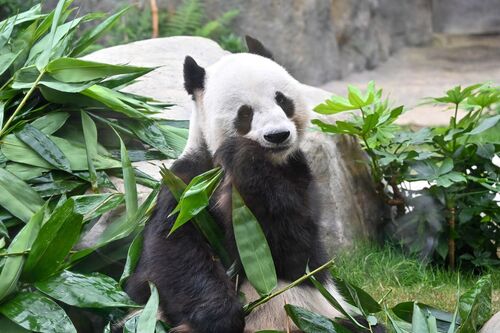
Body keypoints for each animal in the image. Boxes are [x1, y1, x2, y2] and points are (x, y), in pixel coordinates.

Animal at [126, 36, 382, 332]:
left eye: (282, 100)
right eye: (244, 113)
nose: (277, 135)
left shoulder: (298, 174)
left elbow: (296, 249)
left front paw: (244, 157)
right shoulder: (186, 184)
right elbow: (172, 248)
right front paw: (220, 315)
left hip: (328, 316)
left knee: (364, 325)